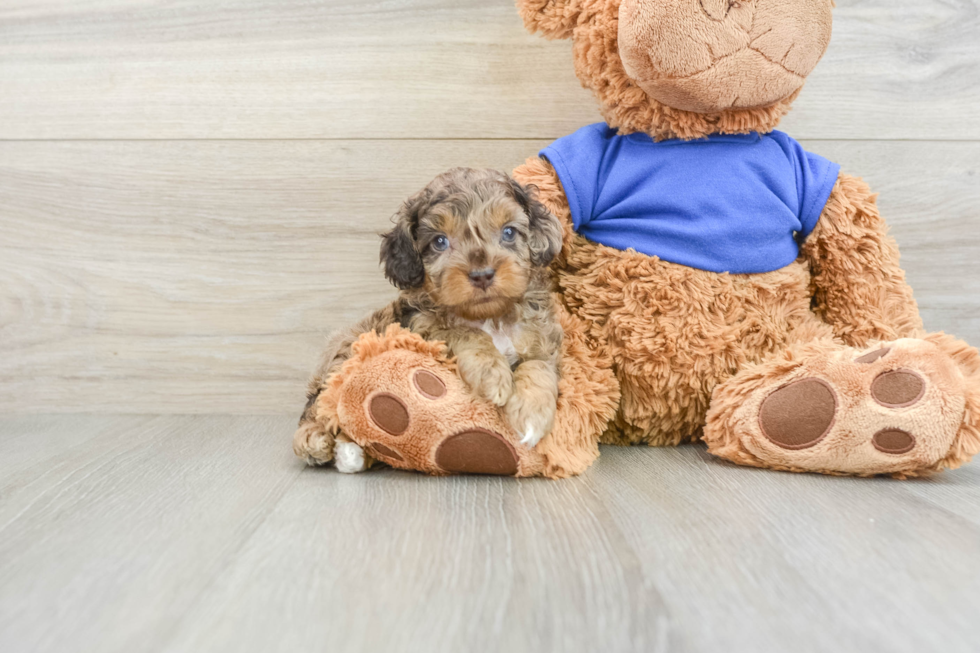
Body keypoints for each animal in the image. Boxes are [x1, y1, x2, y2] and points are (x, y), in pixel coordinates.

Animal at [294, 167, 564, 474]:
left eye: (508, 232)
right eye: (439, 241)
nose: (482, 275)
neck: (489, 316)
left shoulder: (542, 339)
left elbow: (538, 366)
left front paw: (531, 413)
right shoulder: (421, 329)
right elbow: (463, 332)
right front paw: (491, 375)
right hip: (344, 350)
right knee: (319, 403)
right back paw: (314, 438)